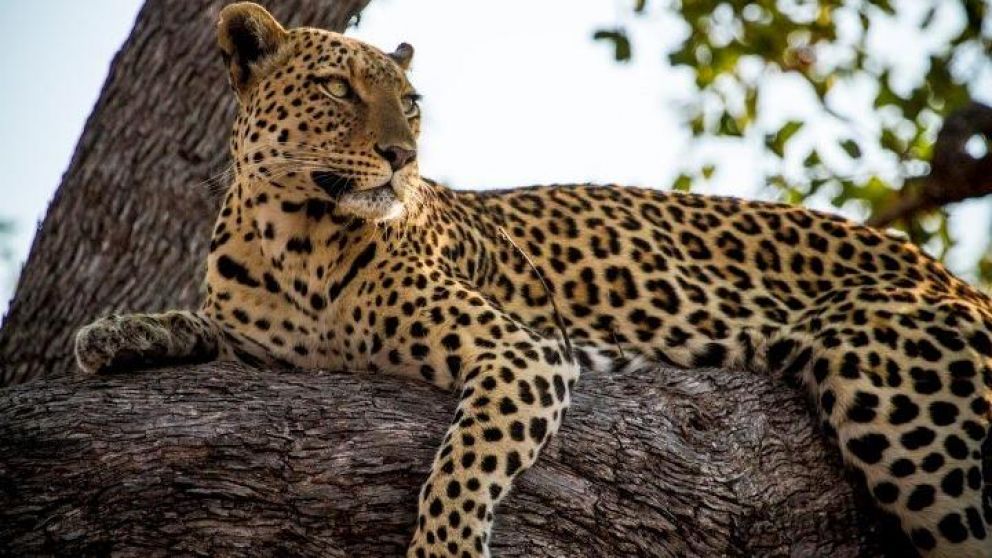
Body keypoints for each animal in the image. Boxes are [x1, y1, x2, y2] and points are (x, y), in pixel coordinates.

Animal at [73, 3, 992, 556]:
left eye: (411, 102)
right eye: (337, 87)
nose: (402, 156)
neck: (292, 235)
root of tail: (954, 279)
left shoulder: (524, 352)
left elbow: (461, 467)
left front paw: (442, 548)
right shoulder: (271, 345)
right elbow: (203, 327)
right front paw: (118, 335)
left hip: (890, 376)